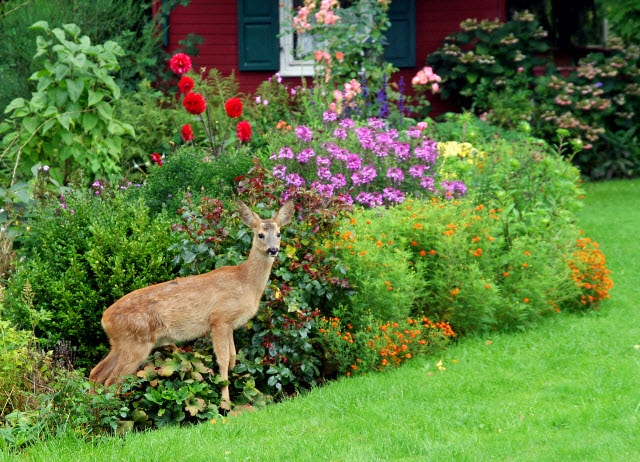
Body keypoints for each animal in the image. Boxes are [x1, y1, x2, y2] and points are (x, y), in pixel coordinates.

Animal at [89, 200, 296, 410]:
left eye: (279, 233)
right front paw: (225, 404)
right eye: (260, 234)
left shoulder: (229, 324)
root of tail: (105, 319)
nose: (273, 250)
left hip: (120, 343)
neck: (245, 282)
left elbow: (233, 357)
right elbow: (223, 360)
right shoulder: (220, 319)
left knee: (96, 373)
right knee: (112, 380)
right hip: (135, 343)